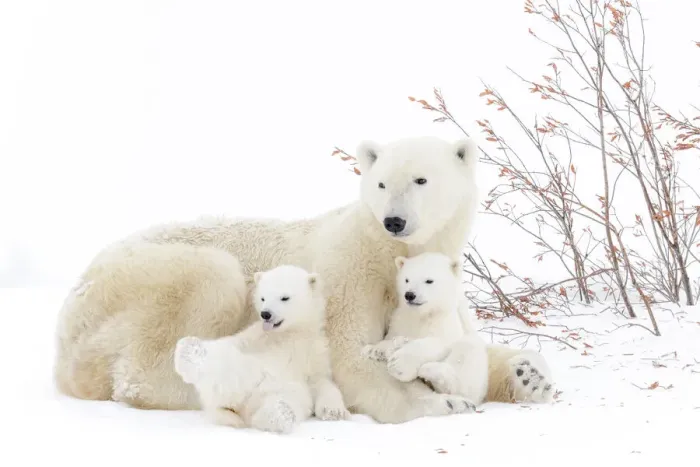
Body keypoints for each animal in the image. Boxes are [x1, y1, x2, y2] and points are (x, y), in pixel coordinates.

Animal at [173, 264, 349, 434]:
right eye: (263, 298)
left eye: (284, 297)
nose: (266, 314)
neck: (289, 333)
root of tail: (240, 408)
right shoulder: (258, 335)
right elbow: (237, 341)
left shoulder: (314, 350)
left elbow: (321, 381)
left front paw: (335, 412)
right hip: (237, 373)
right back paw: (190, 351)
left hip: (281, 392)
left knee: (282, 402)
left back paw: (279, 414)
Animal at [361, 252, 491, 408]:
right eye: (407, 279)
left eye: (429, 280)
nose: (409, 295)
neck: (422, 315)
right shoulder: (400, 320)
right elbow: (392, 337)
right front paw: (376, 350)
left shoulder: (446, 325)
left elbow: (438, 343)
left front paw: (398, 364)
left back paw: (431, 371)